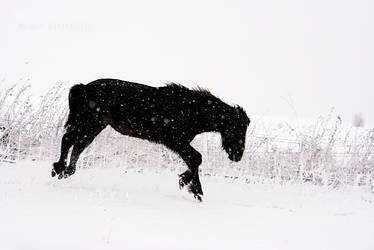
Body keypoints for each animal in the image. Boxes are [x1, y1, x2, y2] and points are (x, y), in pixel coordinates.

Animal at [52, 78, 250, 201]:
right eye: (238, 129)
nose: (238, 156)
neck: (193, 110)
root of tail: (83, 87)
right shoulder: (176, 141)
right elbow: (196, 159)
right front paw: (186, 183)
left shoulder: (180, 144)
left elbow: (193, 161)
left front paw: (195, 191)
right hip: (88, 124)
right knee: (68, 139)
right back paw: (58, 168)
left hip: (94, 127)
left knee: (77, 146)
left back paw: (65, 171)